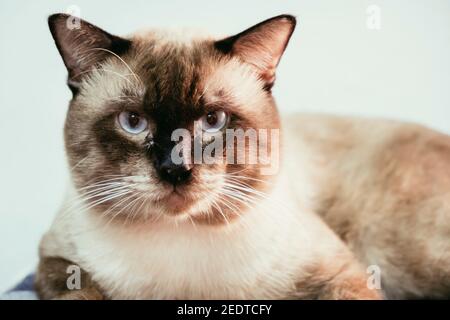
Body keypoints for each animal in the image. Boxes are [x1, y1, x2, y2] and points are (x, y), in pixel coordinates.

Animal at [36, 12, 450, 298]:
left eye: (213, 120)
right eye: (133, 122)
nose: (175, 170)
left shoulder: (341, 274)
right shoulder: (57, 263)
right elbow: (81, 292)